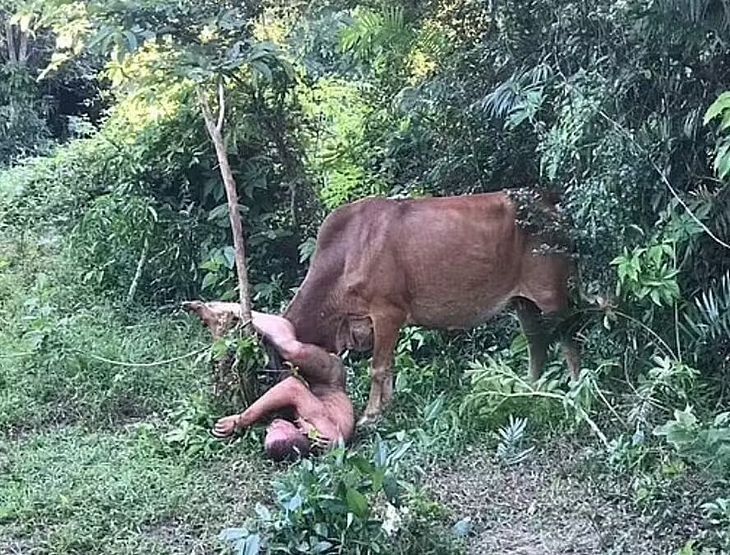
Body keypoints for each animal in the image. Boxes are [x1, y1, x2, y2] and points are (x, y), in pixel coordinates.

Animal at [282, 191, 580, 426]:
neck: (343, 257)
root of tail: (555, 209)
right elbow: (388, 366)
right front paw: (387, 406)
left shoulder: (387, 312)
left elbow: (378, 368)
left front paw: (370, 414)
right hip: (523, 302)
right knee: (536, 342)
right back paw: (530, 387)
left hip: (550, 294)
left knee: (568, 338)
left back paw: (577, 388)